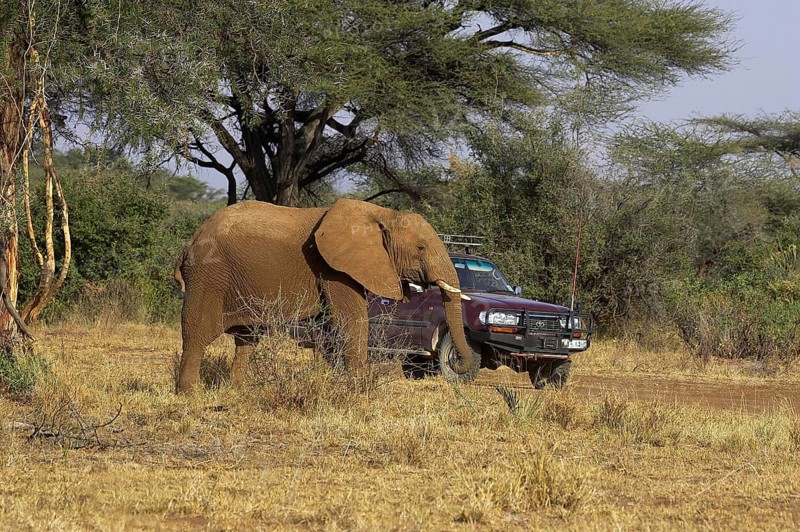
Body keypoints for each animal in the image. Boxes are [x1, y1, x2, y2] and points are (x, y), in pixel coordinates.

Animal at [173, 198, 474, 393]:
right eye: (421, 248)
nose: (459, 362)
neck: (382, 215)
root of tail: (190, 241)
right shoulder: (333, 268)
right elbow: (352, 318)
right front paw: (360, 388)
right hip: (209, 276)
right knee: (198, 331)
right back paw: (191, 393)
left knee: (248, 337)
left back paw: (237, 390)